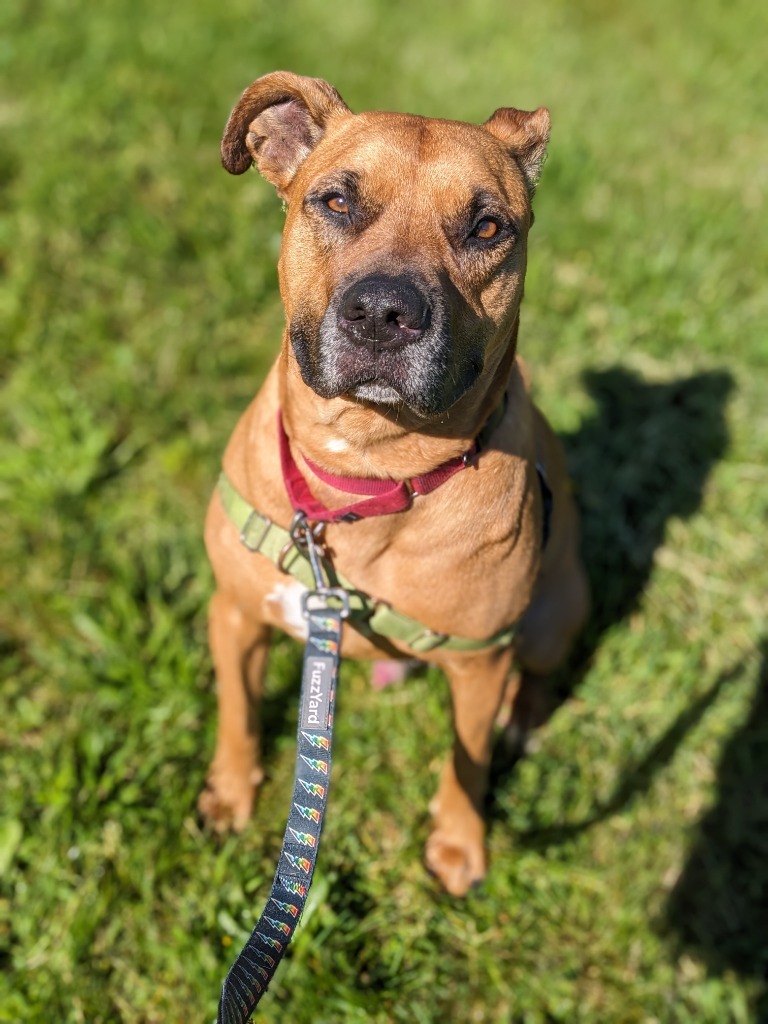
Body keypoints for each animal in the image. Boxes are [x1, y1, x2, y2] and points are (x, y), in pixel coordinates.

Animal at [199, 74, 589, 897]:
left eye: (486, 226)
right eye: (336, 202)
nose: (384, 310)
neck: (366, 474)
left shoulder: (480, 660)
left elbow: (466, 763)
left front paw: (459, 843)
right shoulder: (236, 614)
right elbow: (239, 713)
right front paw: (231, 790)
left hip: (553, 615)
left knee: (539, 678)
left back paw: (522, 722)